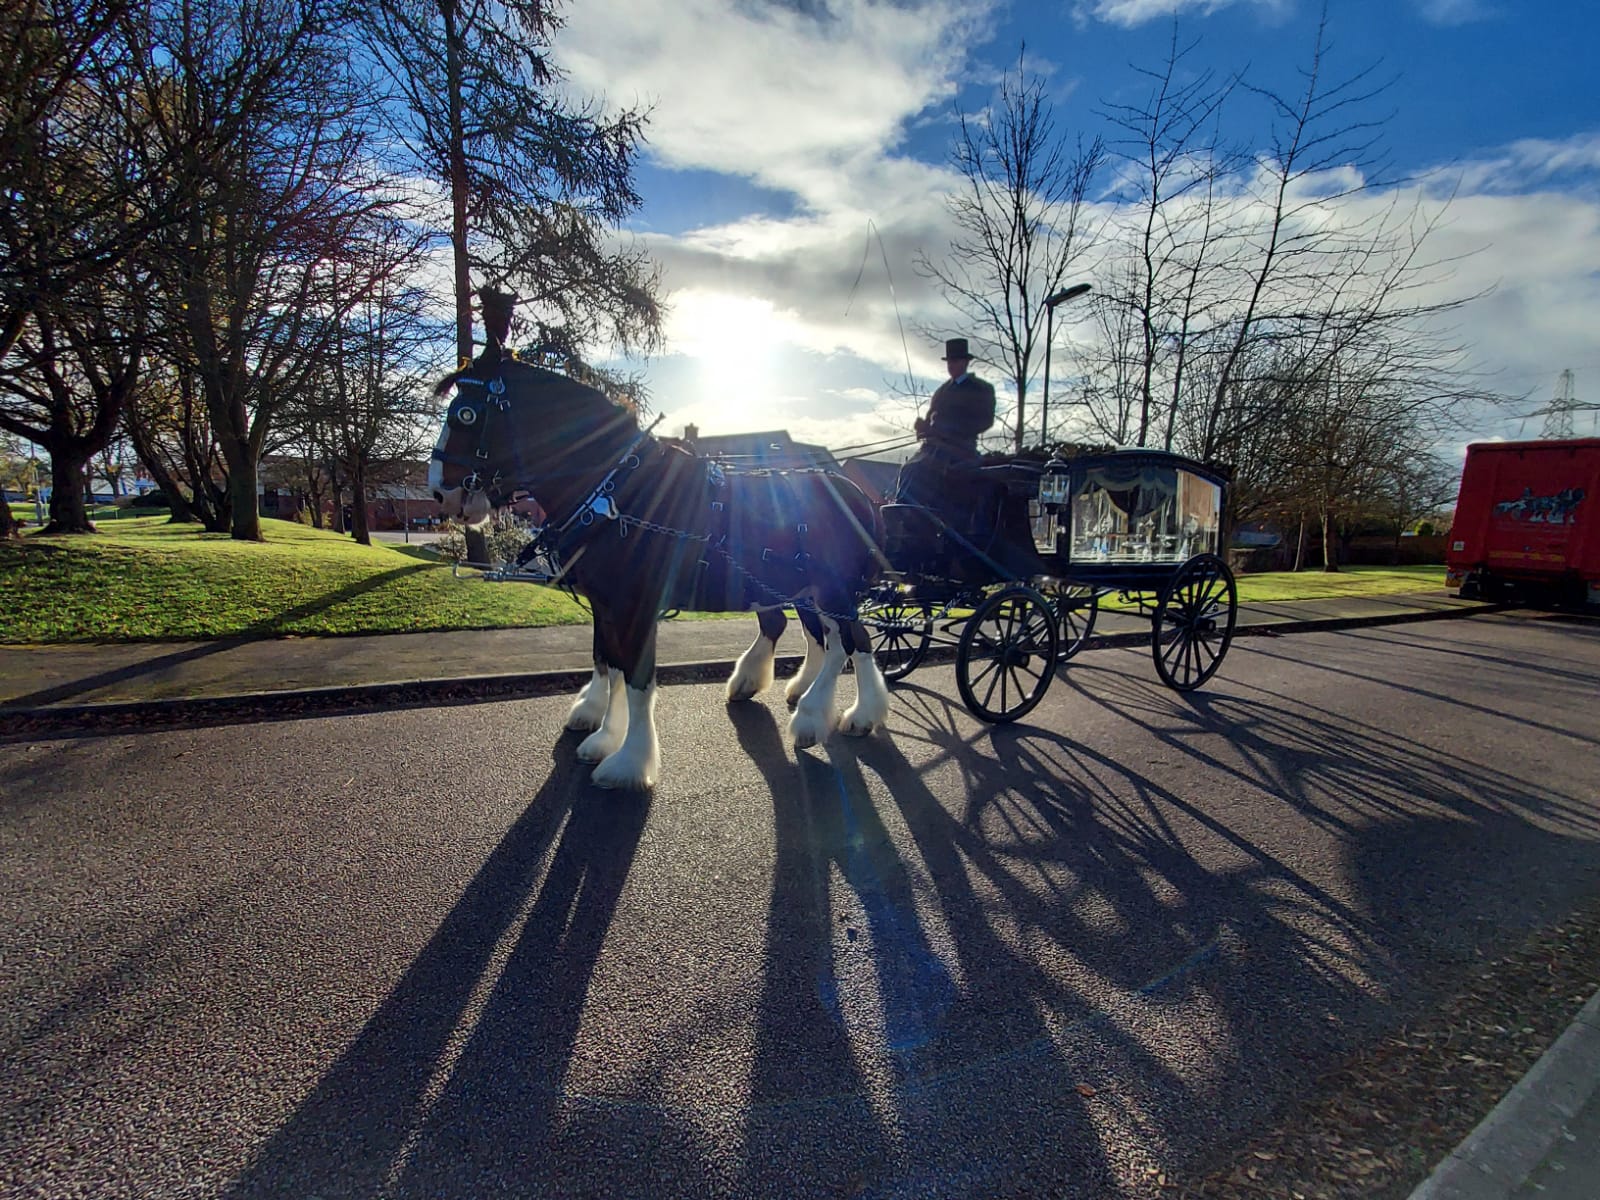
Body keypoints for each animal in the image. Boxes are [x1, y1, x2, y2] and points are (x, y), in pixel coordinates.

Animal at [428, 338, 892, 791]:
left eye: (466, 415)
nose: (440, 494)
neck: (618, 490)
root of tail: (857, 495)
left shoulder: (635, 606)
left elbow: (637, 680)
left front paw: (628, 762)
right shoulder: (605, 603)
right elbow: (607, 662)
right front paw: (599, 728)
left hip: (832, 590)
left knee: (847, 643)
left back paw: (826, 716)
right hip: (801, 589)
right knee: (829, 637)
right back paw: (812, 699)